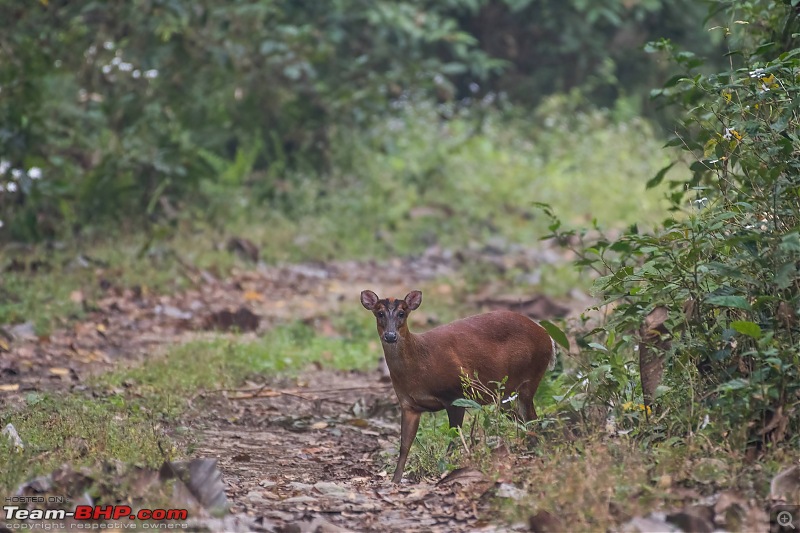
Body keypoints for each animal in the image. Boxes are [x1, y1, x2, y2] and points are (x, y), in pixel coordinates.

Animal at [362, 290, 556, 482]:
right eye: (379, 313)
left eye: (402, 313)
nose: (390, 336)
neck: (418, 367)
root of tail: (548, 336)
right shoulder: (408, 405)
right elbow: (404, 444)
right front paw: (395, 480)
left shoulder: (455, 394)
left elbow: (454, 438)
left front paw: (446, 470)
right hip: (503, 394)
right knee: (523, 420)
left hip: (530, 376)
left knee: (532, 418)